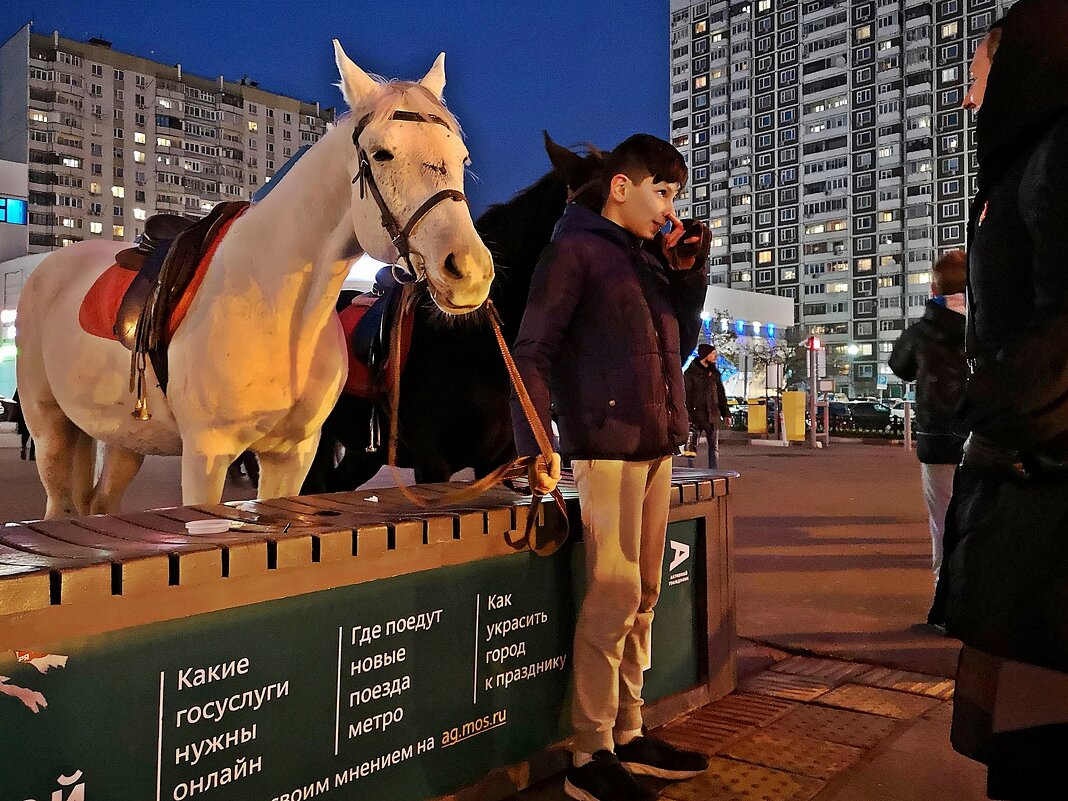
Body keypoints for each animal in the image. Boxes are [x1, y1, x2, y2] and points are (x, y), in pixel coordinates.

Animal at [15, 42, 491, 521]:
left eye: (462, 158)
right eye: (381, 154)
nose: (468, 270)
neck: (278, 308)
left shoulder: (293, 455)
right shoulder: (206, 455)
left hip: (124, 438)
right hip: (51, 430)